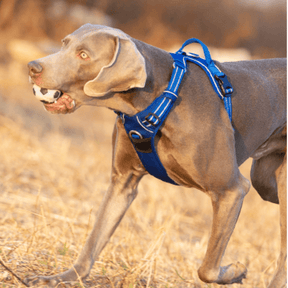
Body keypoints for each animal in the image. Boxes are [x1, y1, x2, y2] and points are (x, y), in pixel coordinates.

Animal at [26, 23, 286, 286]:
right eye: (64, 43)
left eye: (84, 55)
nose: (33, 67)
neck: (157, 100)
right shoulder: (123, 181)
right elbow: (95, 238)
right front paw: (61, 277)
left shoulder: (231, 189)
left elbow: (207, 268)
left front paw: (235, 271)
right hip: (265, 180)